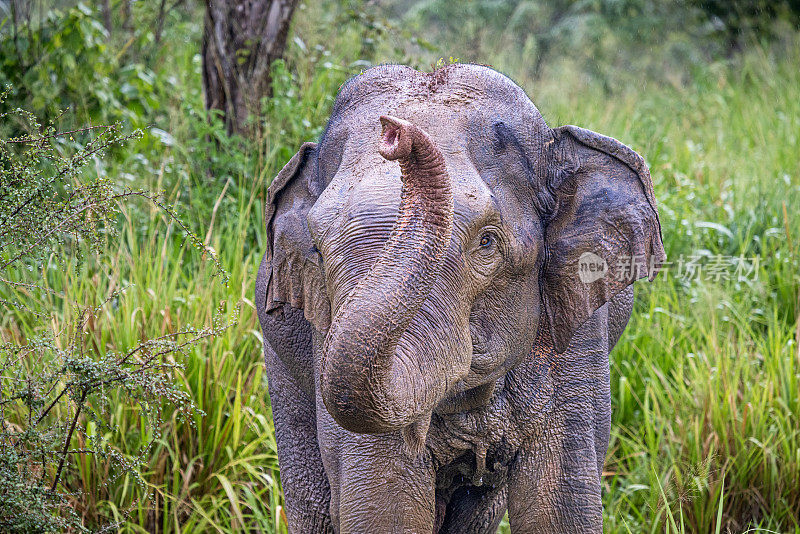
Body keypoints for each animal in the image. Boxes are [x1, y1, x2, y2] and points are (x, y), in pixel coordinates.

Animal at [255, 63, 664, 534]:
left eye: (487, 242)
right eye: (318, 251)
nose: (394, 131)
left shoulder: (576, 334)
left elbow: (560, 508)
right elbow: (383, 506)